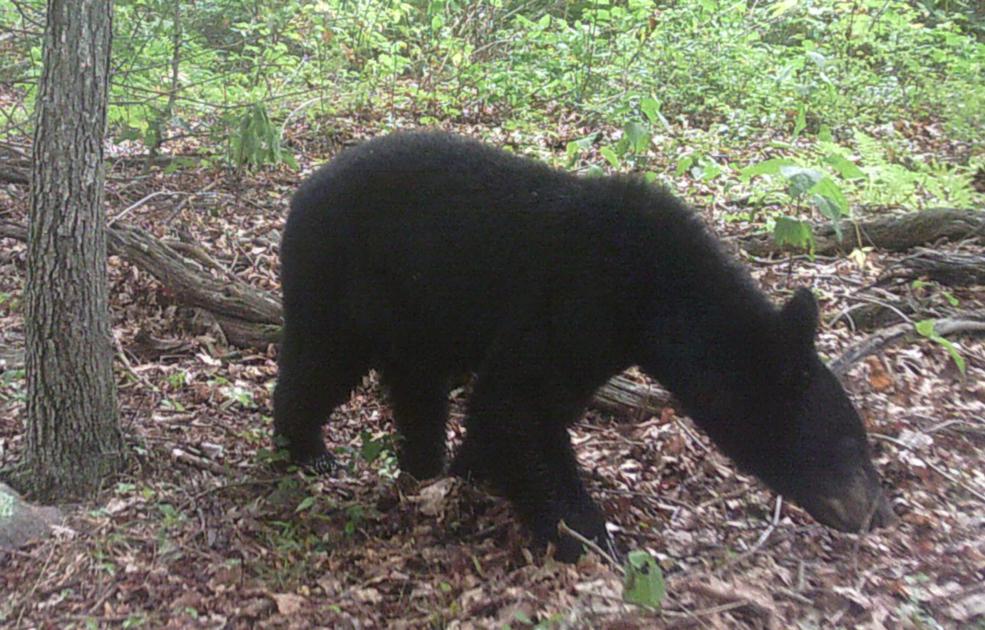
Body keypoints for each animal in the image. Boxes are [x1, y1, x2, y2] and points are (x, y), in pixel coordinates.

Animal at [273, 130, 893, 562]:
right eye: (850, 443)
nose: (875, 512)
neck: (655, 293)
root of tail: (302, 188)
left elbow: (518, 411)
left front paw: (475, 469)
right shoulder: (576, 300)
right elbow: (519, 402)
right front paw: (593, 538)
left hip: (416, 310)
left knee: (416, 381)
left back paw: (424, 464)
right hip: (339, 275)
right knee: (321, 361)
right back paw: (308, 448)